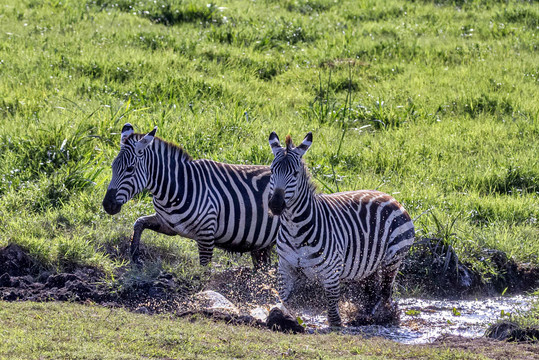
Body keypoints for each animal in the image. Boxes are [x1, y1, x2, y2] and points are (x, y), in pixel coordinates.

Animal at [102, 124, 280, 268]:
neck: (176, 188)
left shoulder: (206, 235)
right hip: (262, 245)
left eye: (130, 169)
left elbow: (204, 271)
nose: (107, 205)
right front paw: (135, 256)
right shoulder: (168, 224)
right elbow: (138, 223)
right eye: (112, 167)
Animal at [268, 131, 416, 326]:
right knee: (372, 294)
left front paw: (336, 323)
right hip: (368, 266)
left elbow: (332, 306)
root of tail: (391, 197)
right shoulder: (285, 267)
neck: (294, 230)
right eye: (272, 171)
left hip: (393, 259)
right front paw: (280, 316)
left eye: (295, 173)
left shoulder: (332, 271)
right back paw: (365, 316)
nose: (276, 205)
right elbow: (282, 299)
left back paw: (384, 318)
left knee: (385, 294)